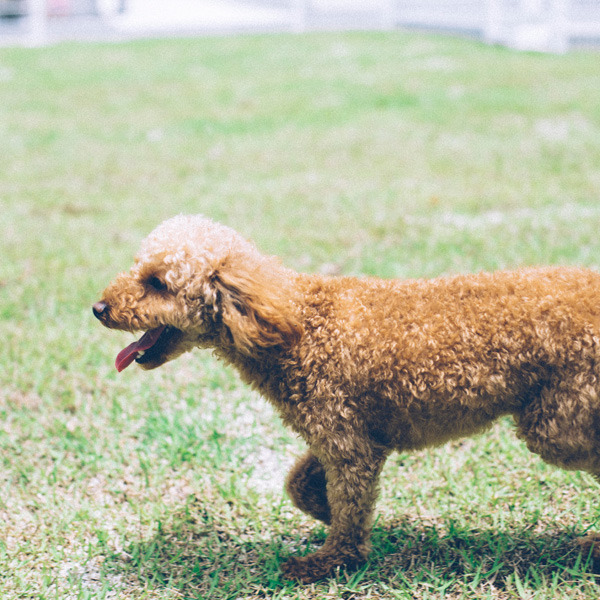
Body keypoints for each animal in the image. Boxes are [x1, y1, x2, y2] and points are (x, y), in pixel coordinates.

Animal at [92, 214, 600, 580]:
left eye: (156, 282)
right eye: (137, 269)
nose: (98, 308)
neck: (294, 324)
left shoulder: (346, 442)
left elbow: (349, 506)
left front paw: (329, 562)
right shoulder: (342, 434)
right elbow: (300, 485)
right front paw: (325, 513)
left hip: (557, 422)